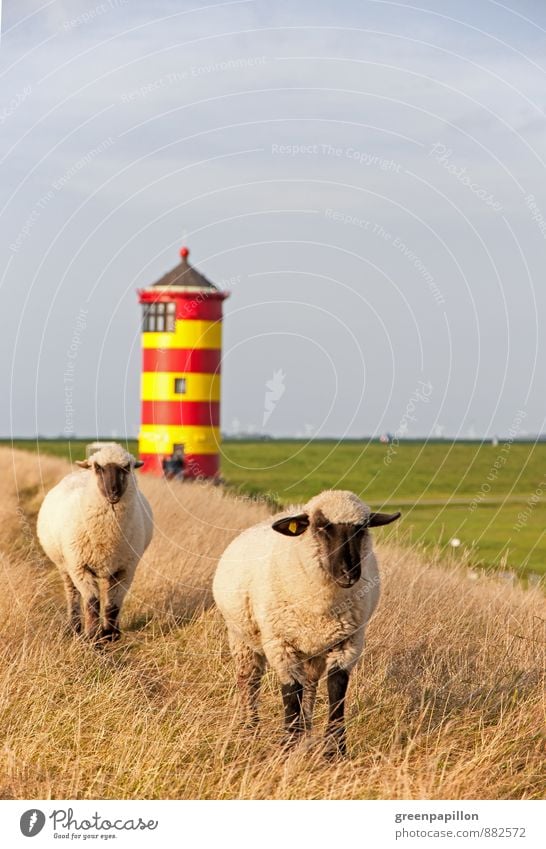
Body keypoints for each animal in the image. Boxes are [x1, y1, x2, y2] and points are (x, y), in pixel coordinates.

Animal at [36, 444, 152, 644]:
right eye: (98, 467)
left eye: (126, 467)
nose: (114, 492)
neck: (108, 535)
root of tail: (80, 471)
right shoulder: (80, 567)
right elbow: (92, 603)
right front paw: (92, 638)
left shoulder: (125, 570)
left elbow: (113, 605)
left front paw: (110, 635)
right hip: (65, 566)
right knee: (73, 595)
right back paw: (74, 627)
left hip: (109, 569)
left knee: (110, 598)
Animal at [212, 490, 400, 756]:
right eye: (321, 526)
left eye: (362, 528)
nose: (349, 573)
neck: (322, 605)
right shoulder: (280, 645)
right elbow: (291, 694)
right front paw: (288, 747)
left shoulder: (348, 643)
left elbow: (336, 691)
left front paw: (335, 751)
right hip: (241, 639)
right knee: (250, 682)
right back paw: (250, 729)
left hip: (314, 652)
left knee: (309, 686)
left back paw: (306, 734)